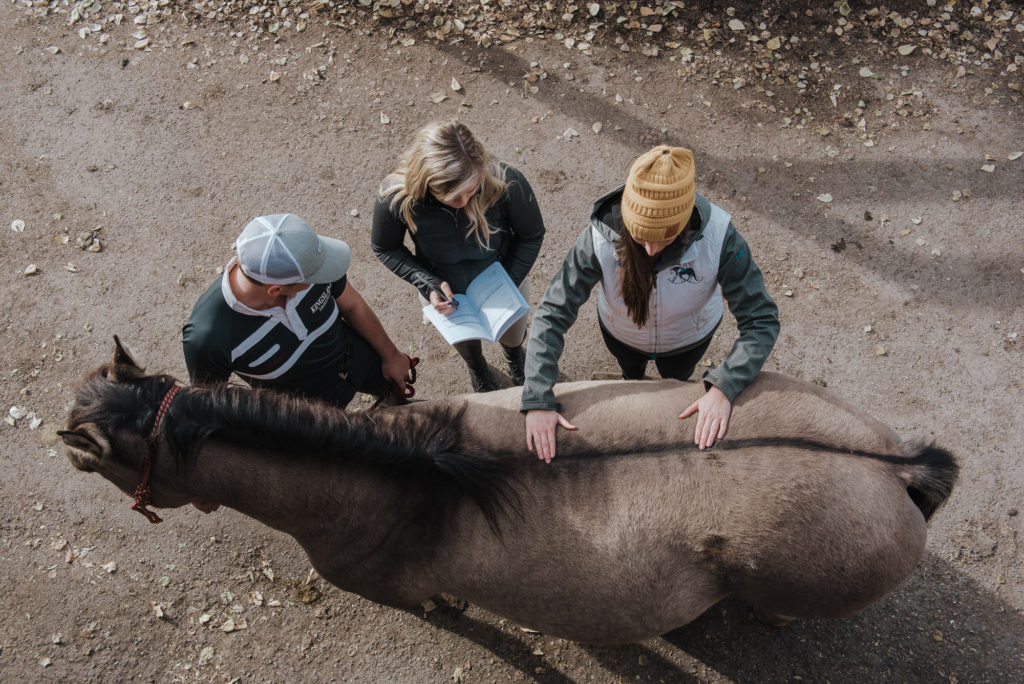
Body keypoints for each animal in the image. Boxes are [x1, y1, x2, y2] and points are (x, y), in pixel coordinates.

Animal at [61, 342, 958, 647]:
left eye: (93, 464)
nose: (63, 437)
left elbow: (443, 609)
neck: (404, 479)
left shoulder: (398, 588)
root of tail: (899, 466)